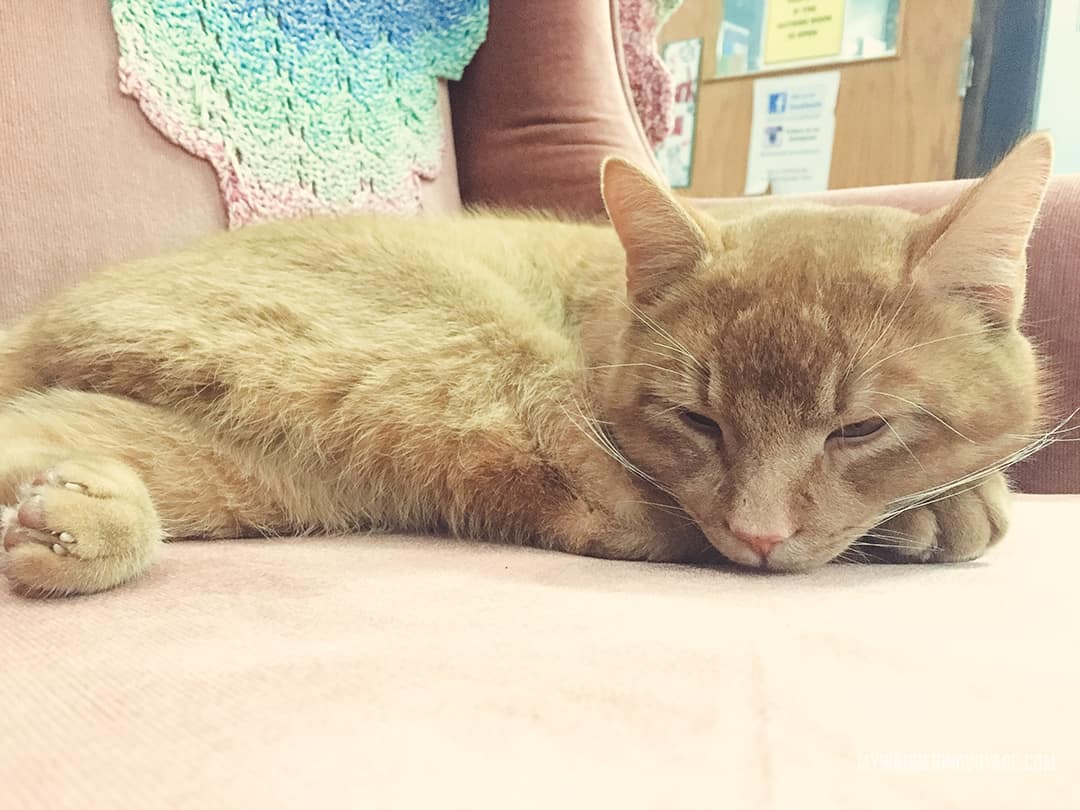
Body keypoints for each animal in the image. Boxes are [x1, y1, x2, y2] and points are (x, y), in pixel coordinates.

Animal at [0, 135, 1049, 596]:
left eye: (860, 428)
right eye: (699, 421)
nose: (757, 536)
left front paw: (948, 500)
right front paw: (952, 509)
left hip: (263, 472)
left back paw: (73, 521)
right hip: (470, 370)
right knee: (619, 521)